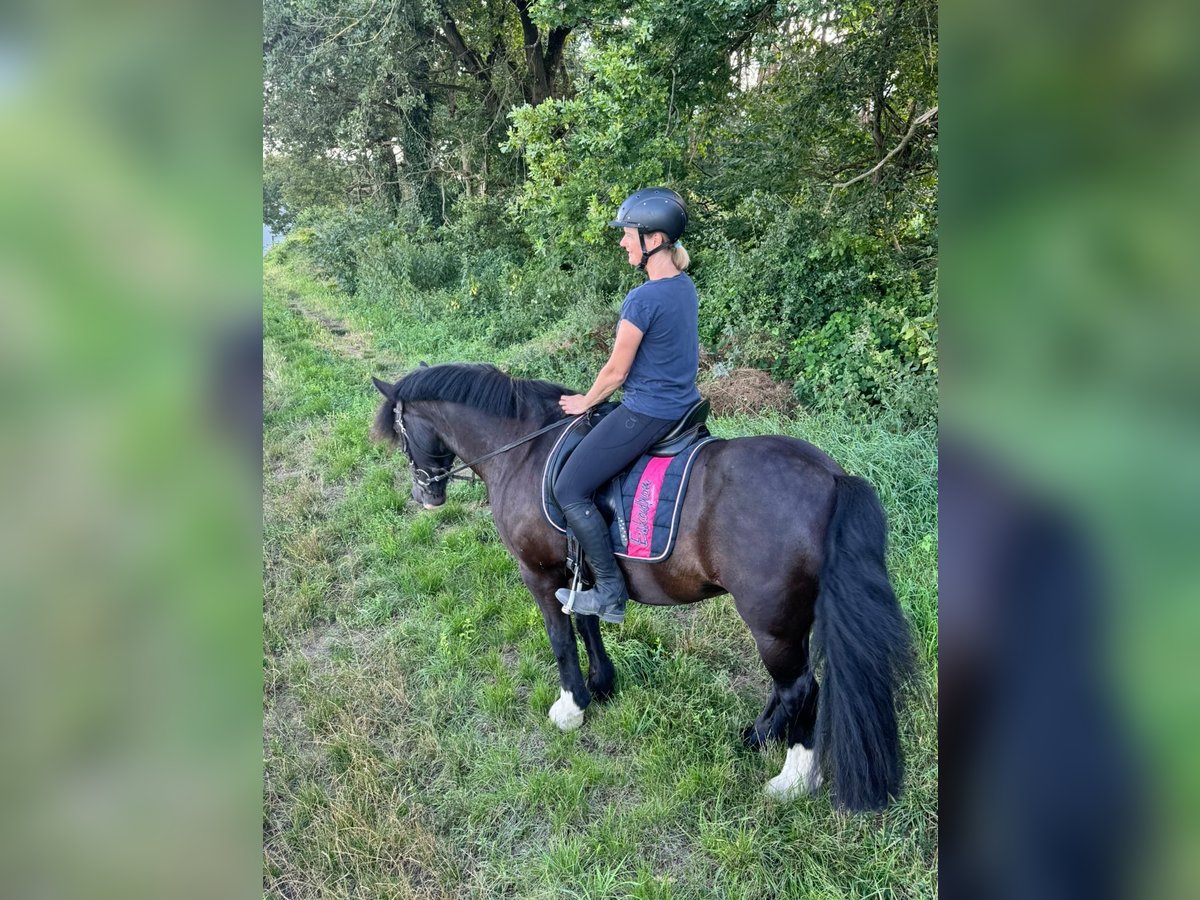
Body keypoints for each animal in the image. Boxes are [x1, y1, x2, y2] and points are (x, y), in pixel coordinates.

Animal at [369, 362, 902, 816]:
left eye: (401, 433)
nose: (424, 494)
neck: (522, 450)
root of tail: (831, 476)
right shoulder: (579, 572)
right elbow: (587, 623)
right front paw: (602, 685)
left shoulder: (538, 573)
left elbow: (560, 638)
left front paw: (571, 707)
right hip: (788, 619)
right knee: (791, 684)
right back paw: (757, 736)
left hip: (771, 621)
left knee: (800, 688)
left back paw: (792, 779)